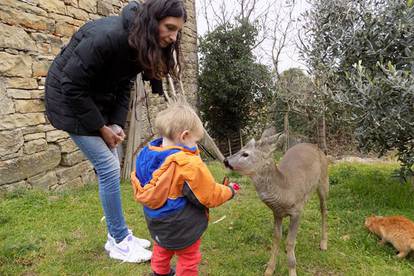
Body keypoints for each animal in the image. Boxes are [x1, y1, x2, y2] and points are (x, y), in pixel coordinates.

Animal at [225, 128, 328, 276]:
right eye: (240, 148)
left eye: (245, 154)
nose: (225, 160)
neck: (285, 192)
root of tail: (314, 146)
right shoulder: (277, 213)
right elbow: (277, 238)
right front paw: (269, 269)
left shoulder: (297, 211)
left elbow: (289, 241)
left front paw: (292, 270)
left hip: (324, 181)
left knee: (324, 210)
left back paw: (323, 243)